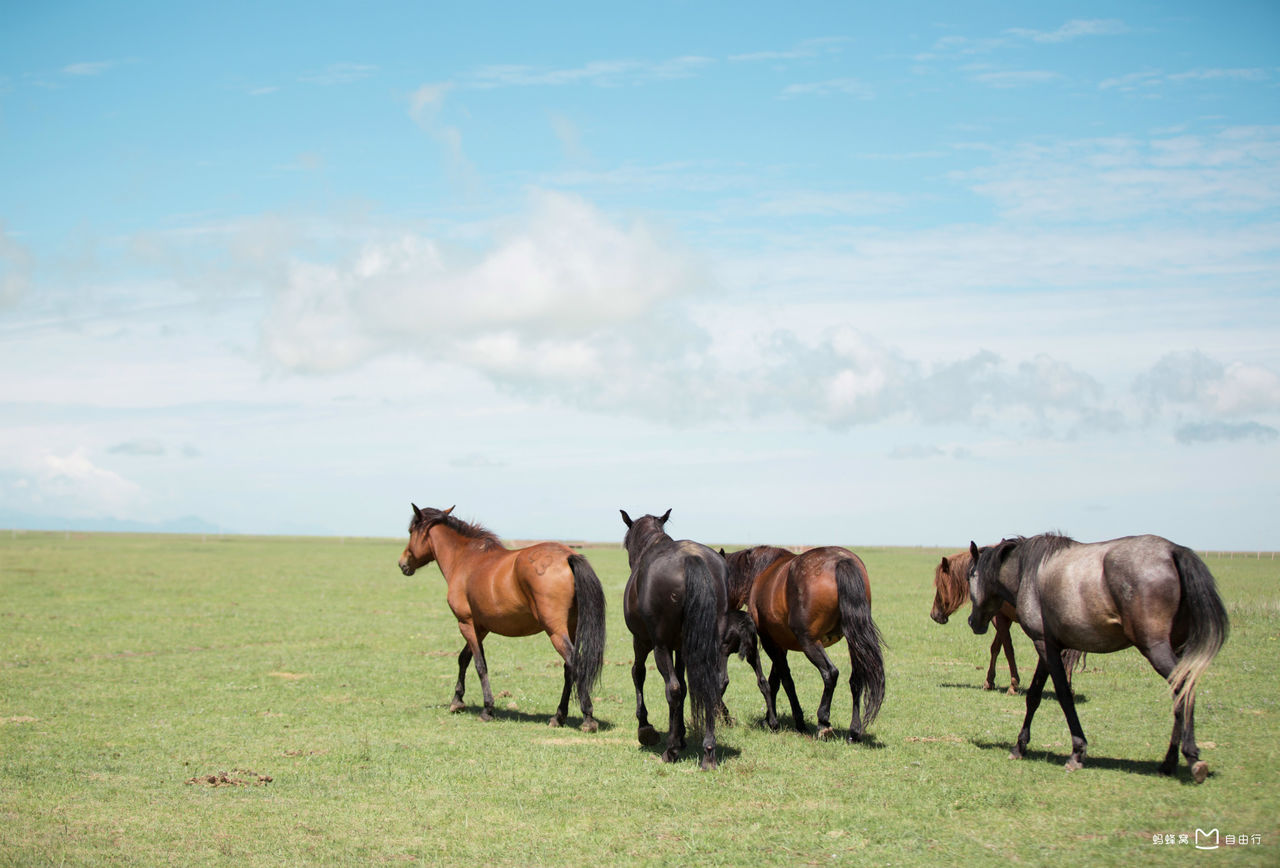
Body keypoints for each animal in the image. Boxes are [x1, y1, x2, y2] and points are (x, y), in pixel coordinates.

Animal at [398, 504, 606, 731]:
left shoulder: (466, 623)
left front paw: (487, 709)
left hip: (555, 631)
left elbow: (480, 665)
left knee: (574, 663)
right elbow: (464, 658)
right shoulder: (480, 627)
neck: (465, 559)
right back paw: (558, 717)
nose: (402, 563)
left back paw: (587, 717)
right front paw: (457, 701)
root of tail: (568, 557)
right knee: (569, 669)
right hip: (571, 628)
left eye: (410, 531)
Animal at [621, 509, 726, 769]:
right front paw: (680, 735)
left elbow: (638, 673)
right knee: (711, 684)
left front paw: (646, 728)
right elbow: (686, 685)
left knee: (673, 688)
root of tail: (692, 559)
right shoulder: (681, 648)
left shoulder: (642, 641)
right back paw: (708, 751)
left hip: (660, 646)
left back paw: (671, 750)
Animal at [724, 545, 885, 743]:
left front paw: (795, 720)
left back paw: (823, 722)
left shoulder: (770, 641)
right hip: (853, 640)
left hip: (809, 642)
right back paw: (854, 731)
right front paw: (769, 719)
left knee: (830, 673)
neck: (758, 570)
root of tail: (841, 560)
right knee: (856, 679)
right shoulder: (780, 644)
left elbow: (786, 681)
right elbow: (775, 680)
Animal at [931, 549, 1084, 694]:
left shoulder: (999, 618)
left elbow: (1008, 649)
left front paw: (1013, 684)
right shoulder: (1004, 618)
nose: (934, 615)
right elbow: (996, 647)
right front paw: (989, 681)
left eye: (940, 584)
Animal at [967, 534, 1229, 782]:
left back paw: (1191, 757)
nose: (972, 622)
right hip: (1177, 647)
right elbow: (1034, 696)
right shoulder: (1050, 645)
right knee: (1181, 692)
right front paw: (1020, 746)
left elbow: (1063, 695)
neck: (1027, 574)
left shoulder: (1044, 645)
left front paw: (1077, 752)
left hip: (1156, 648)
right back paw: (1169, 763)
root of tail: (1174, 551)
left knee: (1183, 686)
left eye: (970, 575)